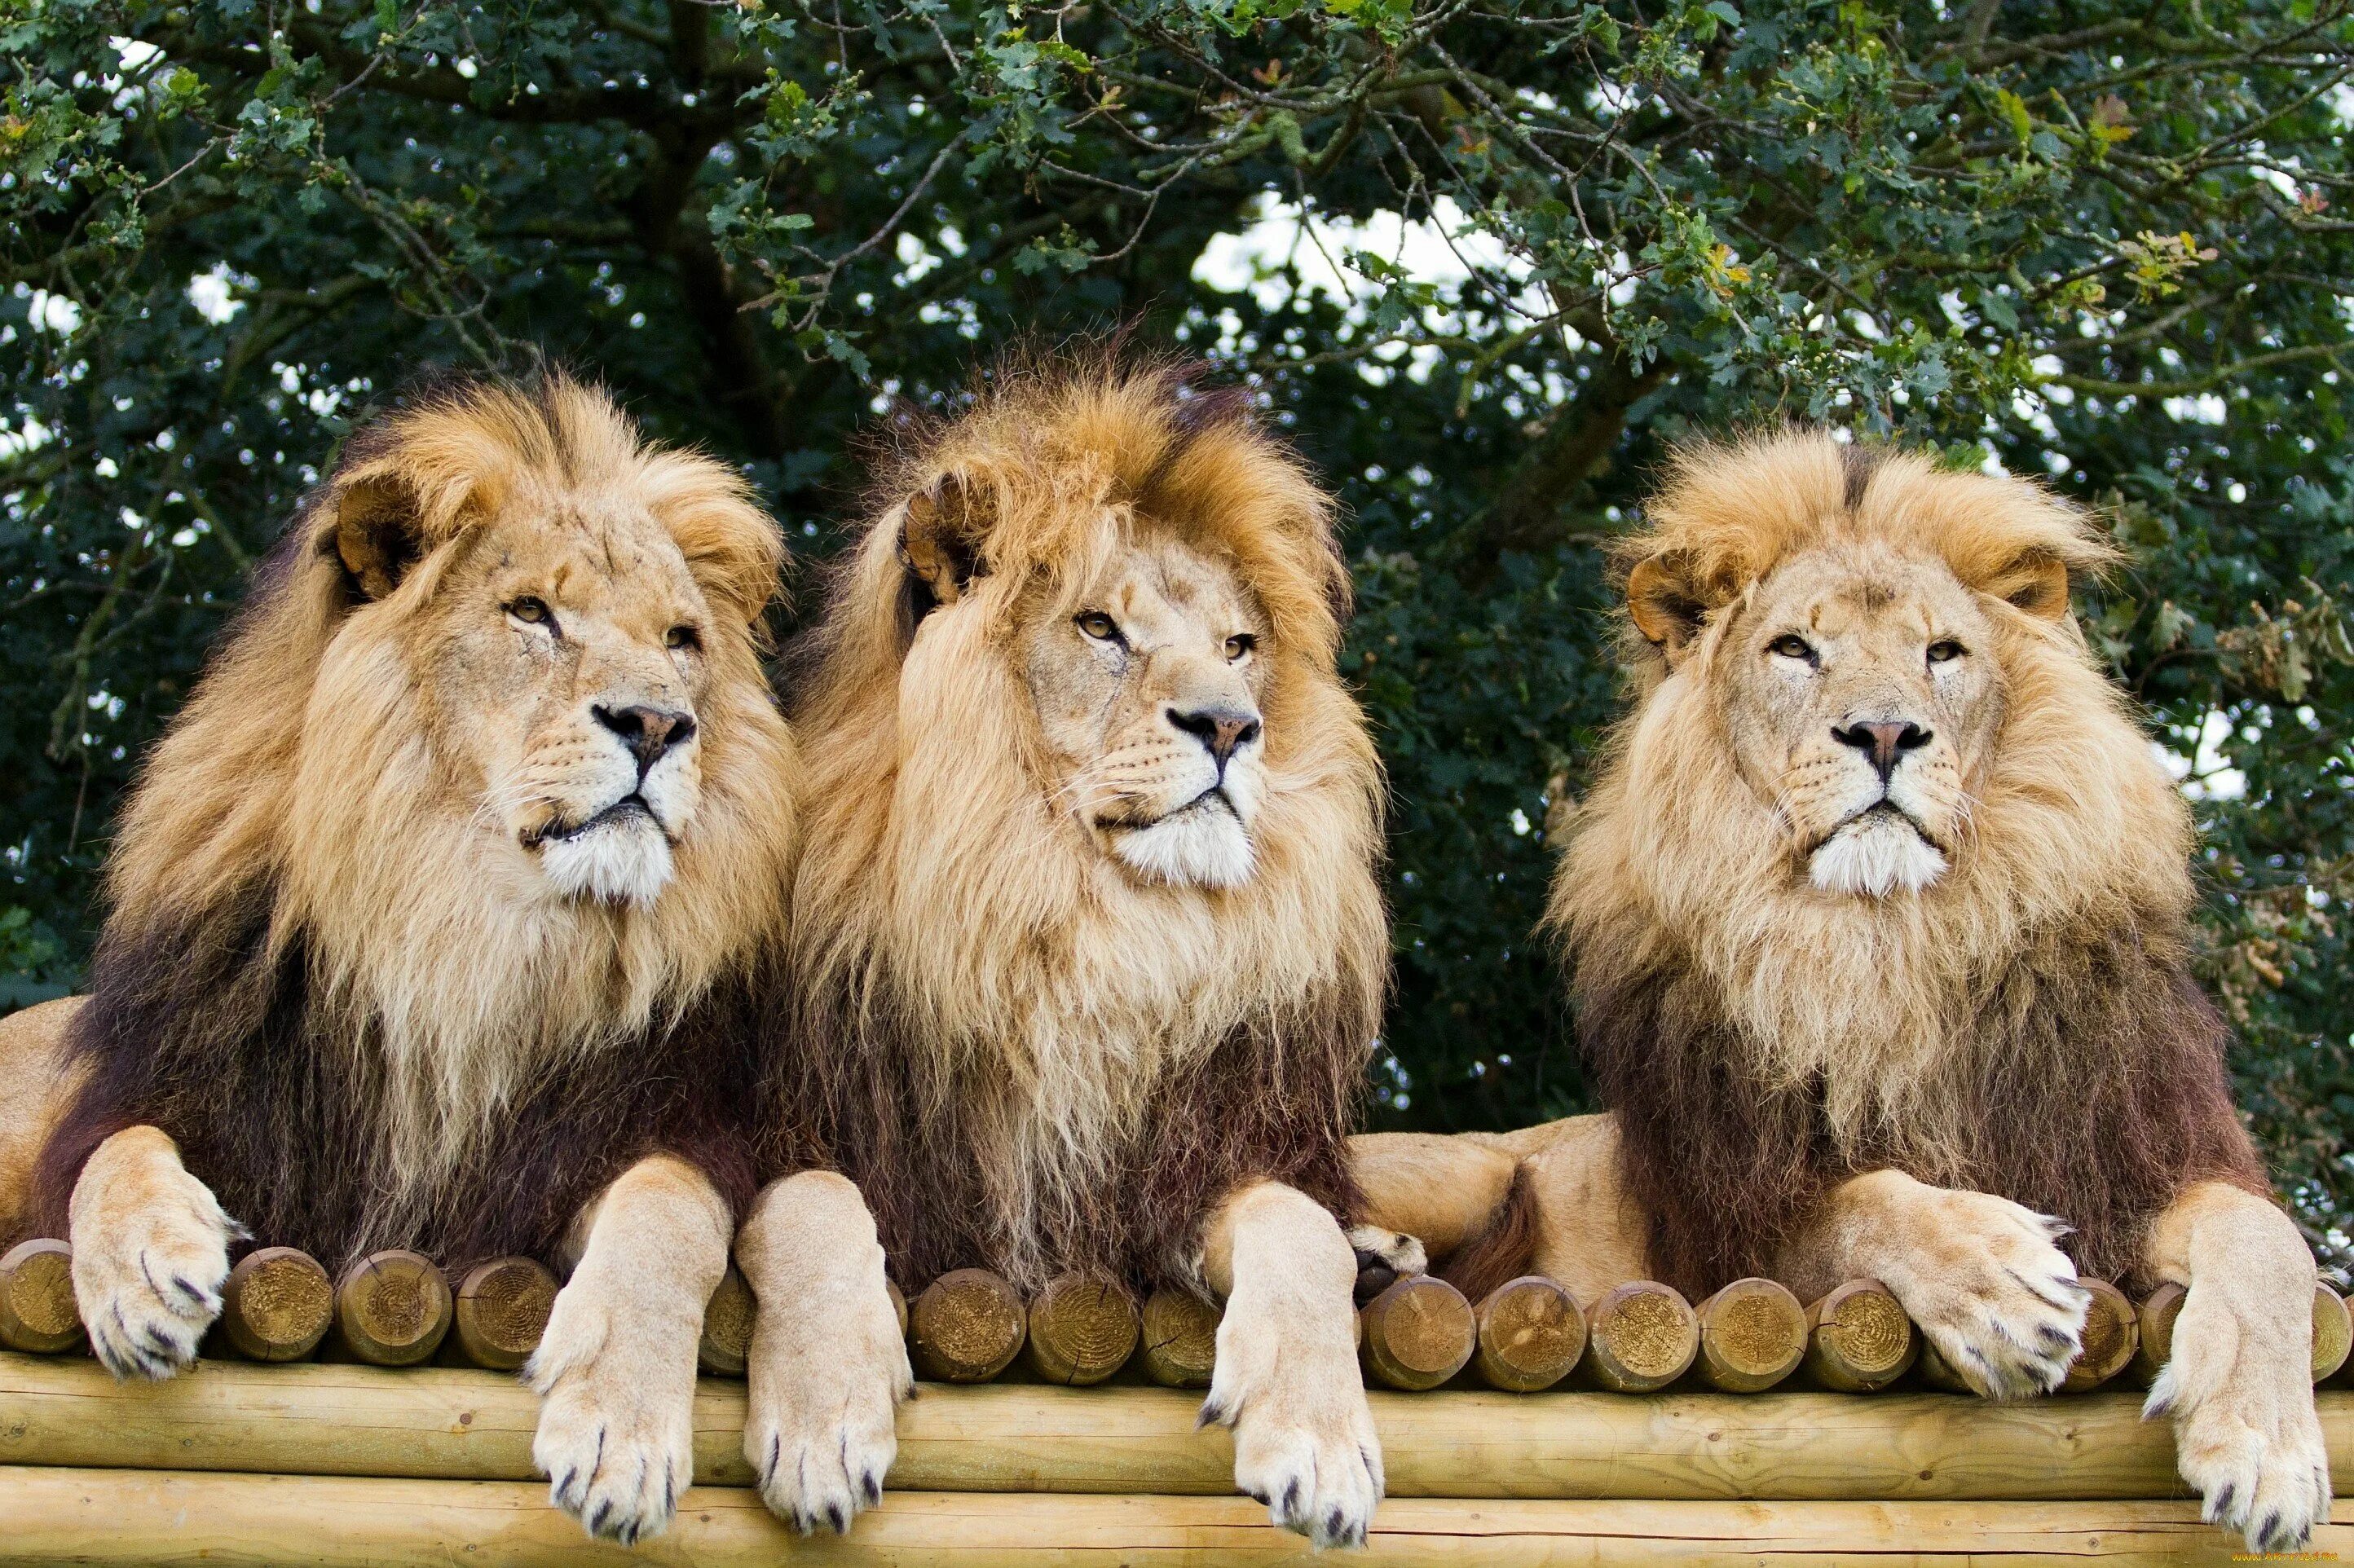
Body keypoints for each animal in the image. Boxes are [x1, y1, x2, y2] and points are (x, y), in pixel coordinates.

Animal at [7, 372, 838, 1544]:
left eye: (681, 638)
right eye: (531, 612)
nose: (657, 725)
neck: (464, 927)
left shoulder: (616, 1138)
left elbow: (667, 1211)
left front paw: (618, 1432)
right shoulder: (180, 1086)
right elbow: (113, 1150)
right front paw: (144, 1267)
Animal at [734, 360, 1393, 1544]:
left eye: (1240, 647)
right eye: (1099, 628)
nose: (1232, 727)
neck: (1086, 919)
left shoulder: (1205, 1156)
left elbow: (1301, 1224)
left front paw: (1319, 1445)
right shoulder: (806, 1117)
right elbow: (814, 1203)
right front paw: (821, 1426)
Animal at [1356, 430, 2325, 1553]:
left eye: (1940, 653)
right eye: (1793, 650)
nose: (1884, 734)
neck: (1881, 942)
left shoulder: (2121, 1163)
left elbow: (2264, 1237)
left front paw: (2266, 1450)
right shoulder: (1731, 1226)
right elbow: (1870, 1199)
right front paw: (1995, 1277)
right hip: (1466, 1166)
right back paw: (1373, 1257)